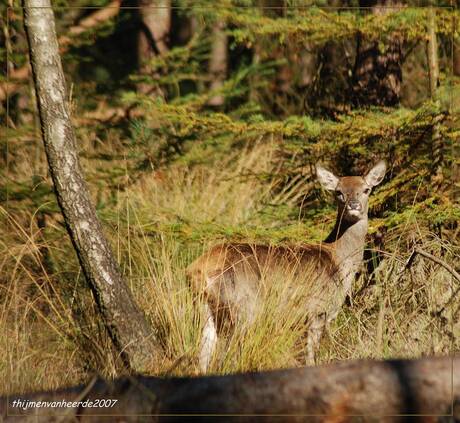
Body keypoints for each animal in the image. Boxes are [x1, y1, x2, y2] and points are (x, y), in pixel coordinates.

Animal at [185, 161, 386, 372]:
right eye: (338, 192)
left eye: (366, 189)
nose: (353, 205)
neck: (338, 261)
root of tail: (195, 270)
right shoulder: (317, 309)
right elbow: (310, 355)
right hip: (241, 308)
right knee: (227, 355)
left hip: (204, 308)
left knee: (203, 355)